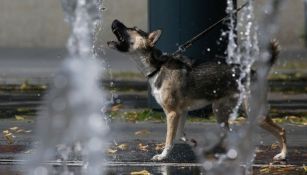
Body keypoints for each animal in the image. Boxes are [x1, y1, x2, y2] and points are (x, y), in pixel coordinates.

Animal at [107, 19, 288, 161]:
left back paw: (282, 155)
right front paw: (191, 142)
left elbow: (169, 139)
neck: (158, 67)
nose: (115, 20)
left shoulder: (172, 113)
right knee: (227, 133)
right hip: (219, 110)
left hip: (254, 112)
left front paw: (163, 156)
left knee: (281, 130)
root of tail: (255, 72)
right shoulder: (182, 112)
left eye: (133, 29)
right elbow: (180, 134)